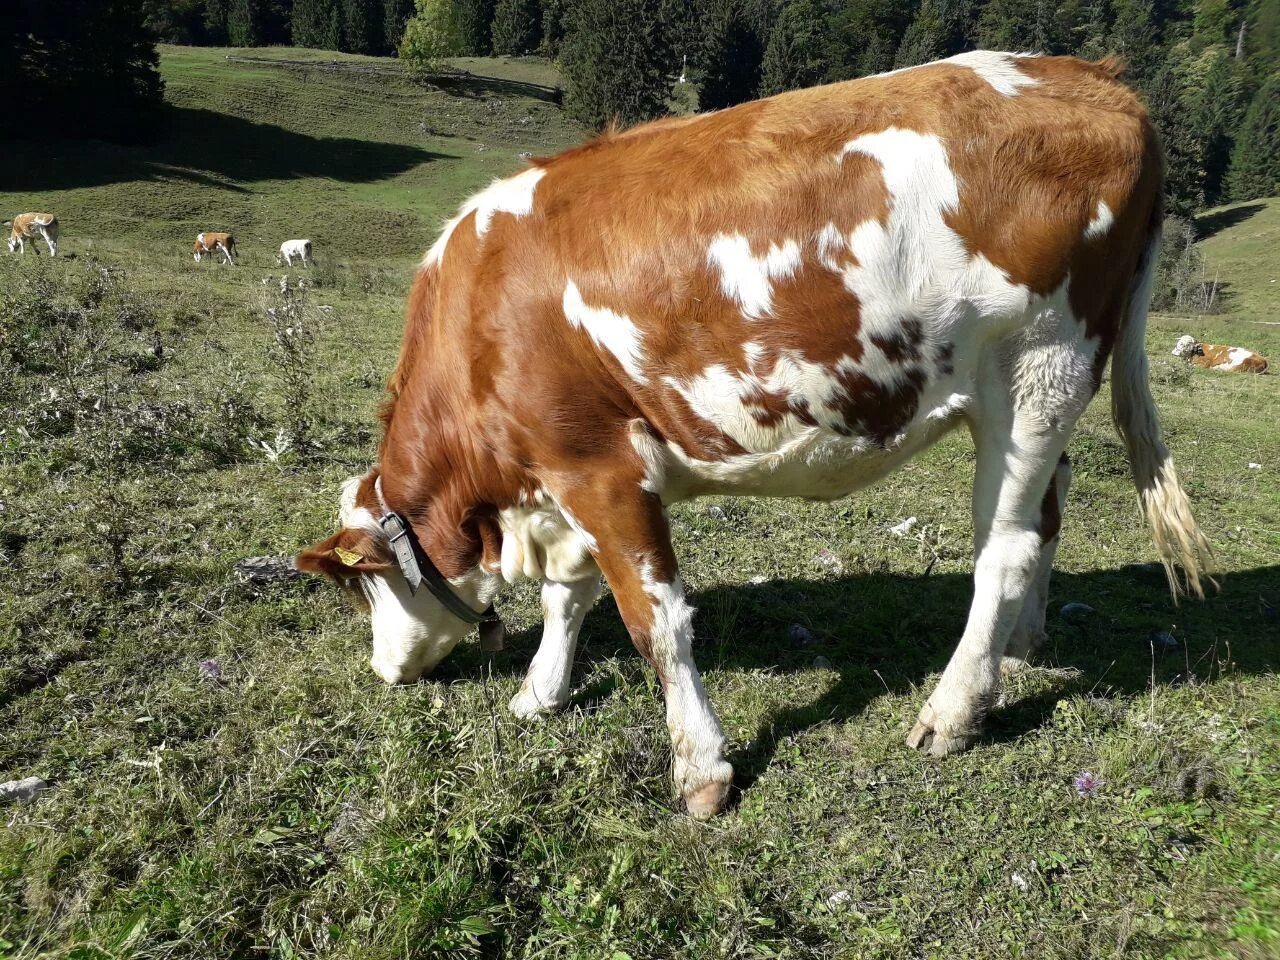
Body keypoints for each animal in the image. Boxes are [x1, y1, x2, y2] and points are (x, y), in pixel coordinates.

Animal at [296, 52, 1208, 819]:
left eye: (367, 588)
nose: (383, 673)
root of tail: (1096, 78)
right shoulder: (563, 482)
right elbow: (570, 595)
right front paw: (540, 693)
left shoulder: (599, 466)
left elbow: (653, 619)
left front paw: (701, 772)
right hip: (1042, 391)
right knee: (1049, 514)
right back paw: (1014, 654)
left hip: (1038, 369)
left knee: (1007, 546)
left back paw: (951, 713)